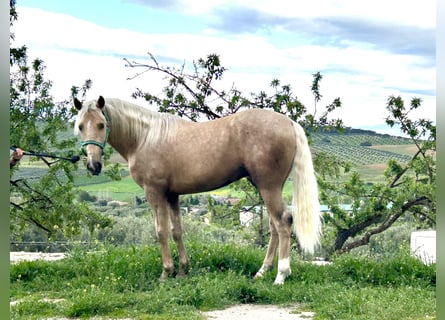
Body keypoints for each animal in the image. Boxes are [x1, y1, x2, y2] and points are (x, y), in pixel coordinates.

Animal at [73, 95, 320, 284]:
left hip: (269, 187)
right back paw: (262, 271)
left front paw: (166, 272)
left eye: (101, 124)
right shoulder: (172, 196)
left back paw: (280, 275)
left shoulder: (155, 193)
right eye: (81, 126)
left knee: (283, 221)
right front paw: (183, 270)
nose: (93, 165)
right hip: (265, 187)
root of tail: (288, 122)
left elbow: (161, 231)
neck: (145, 137)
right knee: (274, 226)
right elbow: (177, 231)